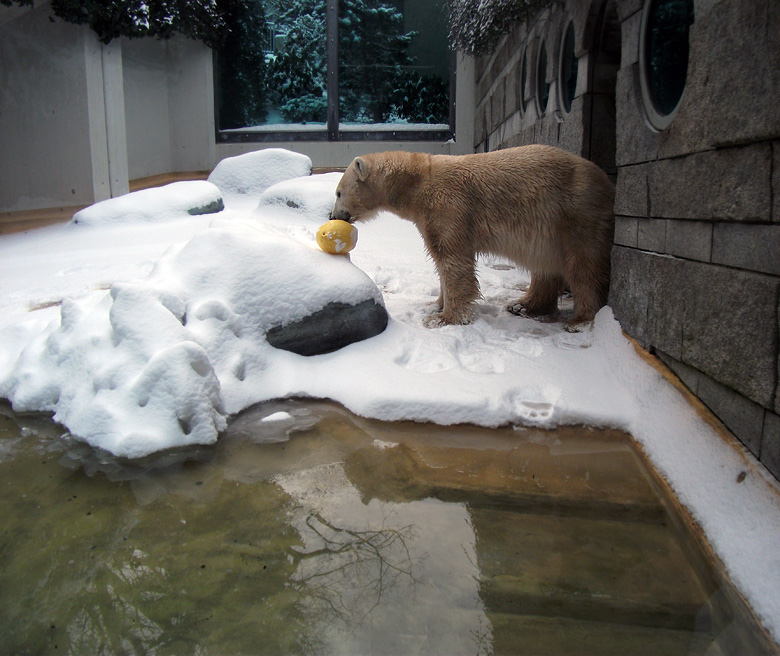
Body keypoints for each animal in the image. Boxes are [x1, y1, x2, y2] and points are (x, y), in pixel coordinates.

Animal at [330, 145, 616, 330]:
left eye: (338, 192)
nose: (334, 215)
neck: (418, 183)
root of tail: (607, 182)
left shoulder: (449, 205)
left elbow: (453, 260)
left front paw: (444, 318)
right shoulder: (429, 216)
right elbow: (439, 259)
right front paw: (435, 305)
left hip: (576, 212)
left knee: (583, 265)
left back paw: (579, 320)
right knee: (546, 264)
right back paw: (523, 305)